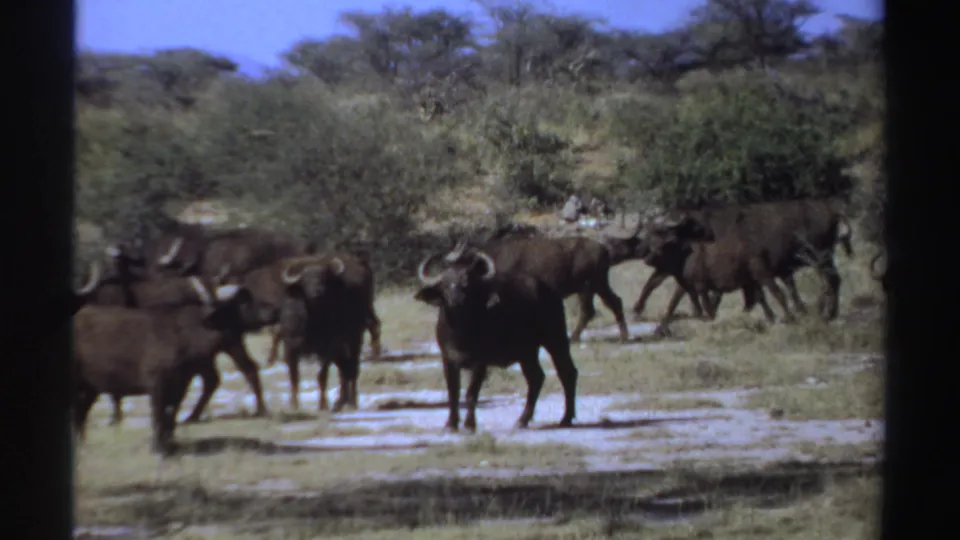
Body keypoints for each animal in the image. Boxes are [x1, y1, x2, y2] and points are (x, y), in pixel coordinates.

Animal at [73, 278, 276, 454]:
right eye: (243, 302)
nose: (273, 310)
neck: (185, 335)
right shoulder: (157, 384)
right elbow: (158, 414)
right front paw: (158, 447)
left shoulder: (181, 384)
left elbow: (171, 414)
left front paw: (168, 443)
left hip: (90, 388)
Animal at [414, 248, 579, 432]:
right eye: (446, 284)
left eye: (467, 284)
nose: (457, 300)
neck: (460, 331)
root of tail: (549, 291)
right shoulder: (448, 359)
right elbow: (453, 392)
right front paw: (451, 423)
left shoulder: (480, 363)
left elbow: (471, 393)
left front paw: (469, 424)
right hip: (527, 353)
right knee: (536, 378)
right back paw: (523, 420)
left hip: (555, 339)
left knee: (567, 372)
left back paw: (566, 418)